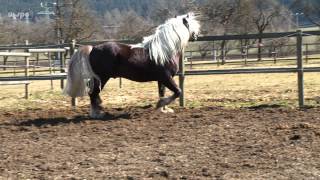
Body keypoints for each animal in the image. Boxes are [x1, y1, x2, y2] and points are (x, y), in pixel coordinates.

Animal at [63, 11, 200, 117]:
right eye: (192, 25)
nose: (197, 36)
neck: (164, 51)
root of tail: (93, 48)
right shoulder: (166, 77)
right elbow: (178, 91)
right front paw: (160, 105)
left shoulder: (162, 79)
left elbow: (162, 93)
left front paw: (163, 110)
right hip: (102, 77)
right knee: (93, 93)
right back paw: (97, 114)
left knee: (94, 94)